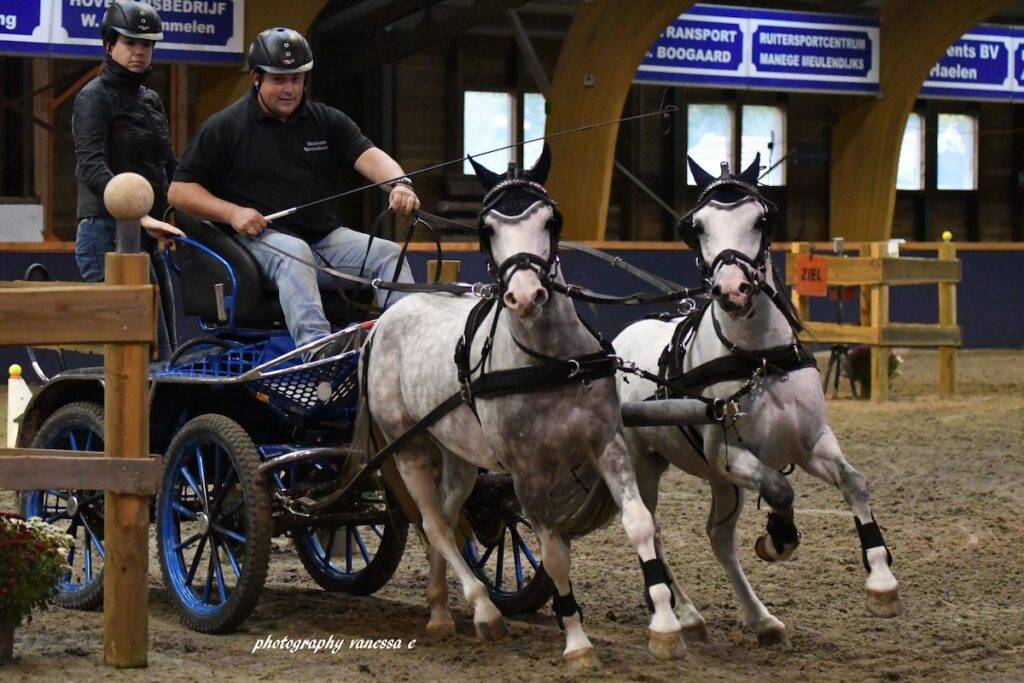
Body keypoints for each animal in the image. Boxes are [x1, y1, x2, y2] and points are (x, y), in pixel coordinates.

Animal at [359, 145, 686, 667]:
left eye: (551, 220)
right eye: (487, 227)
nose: (526, 295)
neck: (550, 362)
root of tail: (385, 319)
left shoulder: (608, 444)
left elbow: (638, 523)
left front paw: (665, 626)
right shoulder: (527, 473)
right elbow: (553, 556)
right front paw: (576, 641)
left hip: (457, 452)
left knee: (448, 519)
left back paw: (440, 610)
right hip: (407, 444)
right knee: (434, 523)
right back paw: (483, 610)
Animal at [613, 155, 902, 645]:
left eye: (762, 219)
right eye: (697, 226)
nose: (732, 290)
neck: (759, 359)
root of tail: (614, 345)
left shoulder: (810, 442)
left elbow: (855, 482)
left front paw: (881, 581)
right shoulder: (730, 453)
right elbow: (780, 489)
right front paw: (778, 538)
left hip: (719, 481)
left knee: (718, 537)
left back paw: (760, 618)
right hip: (645, 464)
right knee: (653, 529)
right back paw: (685, 613)